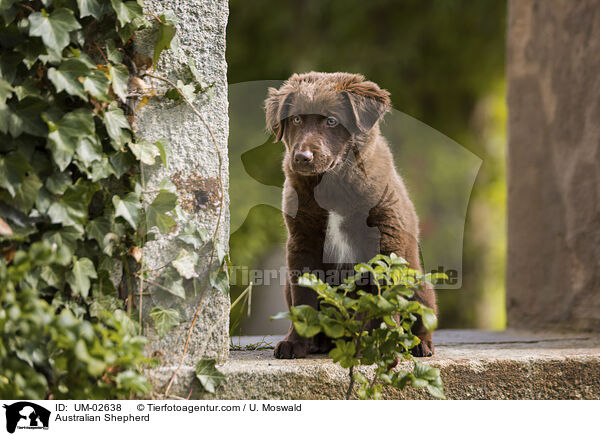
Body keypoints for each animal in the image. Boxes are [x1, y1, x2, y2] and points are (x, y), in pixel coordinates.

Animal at [262, 71, 436, 358]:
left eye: (332, 121)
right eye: (296, 119)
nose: (302, 157)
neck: (331, 184)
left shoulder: (385, 238)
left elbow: (382, 299)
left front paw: (382, 343)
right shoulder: (302, 240)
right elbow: (303, 298)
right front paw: (295, 342)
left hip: (416, 280)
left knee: (421, 315)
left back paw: (419, 344)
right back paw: (321, 342)